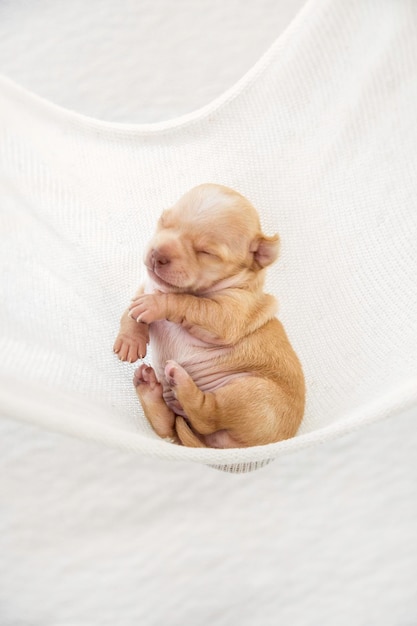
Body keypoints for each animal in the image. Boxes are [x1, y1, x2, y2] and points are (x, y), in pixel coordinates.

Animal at [112, 183, 304, 446]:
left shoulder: (229, 314)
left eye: (205, 252)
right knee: (167, 426)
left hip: (253, 393)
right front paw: (129, 340)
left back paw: (181, 381)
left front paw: (155, 304)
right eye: (163, 221)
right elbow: (130, 311)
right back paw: (148, 387)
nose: (157, 254)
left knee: (208, 414)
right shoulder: (145, 285)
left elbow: (190, 303)